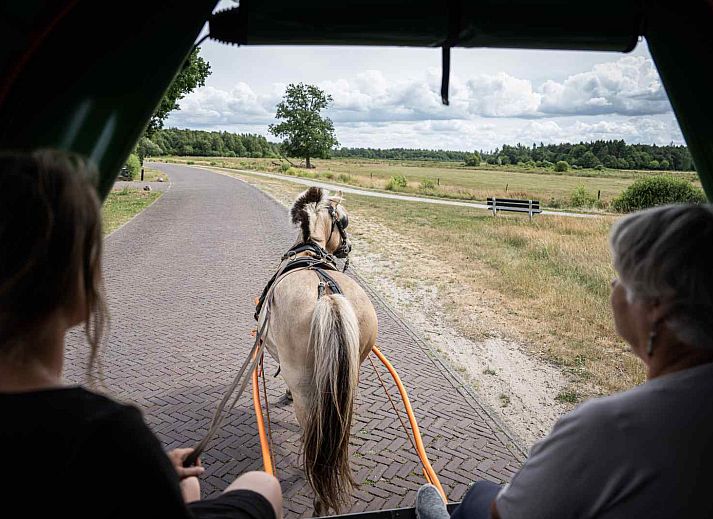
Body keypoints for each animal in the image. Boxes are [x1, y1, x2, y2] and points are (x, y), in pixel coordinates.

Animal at [257, 187, 378, 515]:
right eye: (344, 221)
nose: (347, 248)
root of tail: (327, 293)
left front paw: (284, 394)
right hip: (350, 376)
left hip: (305, 386)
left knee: (313, 430)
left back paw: (318, 498)